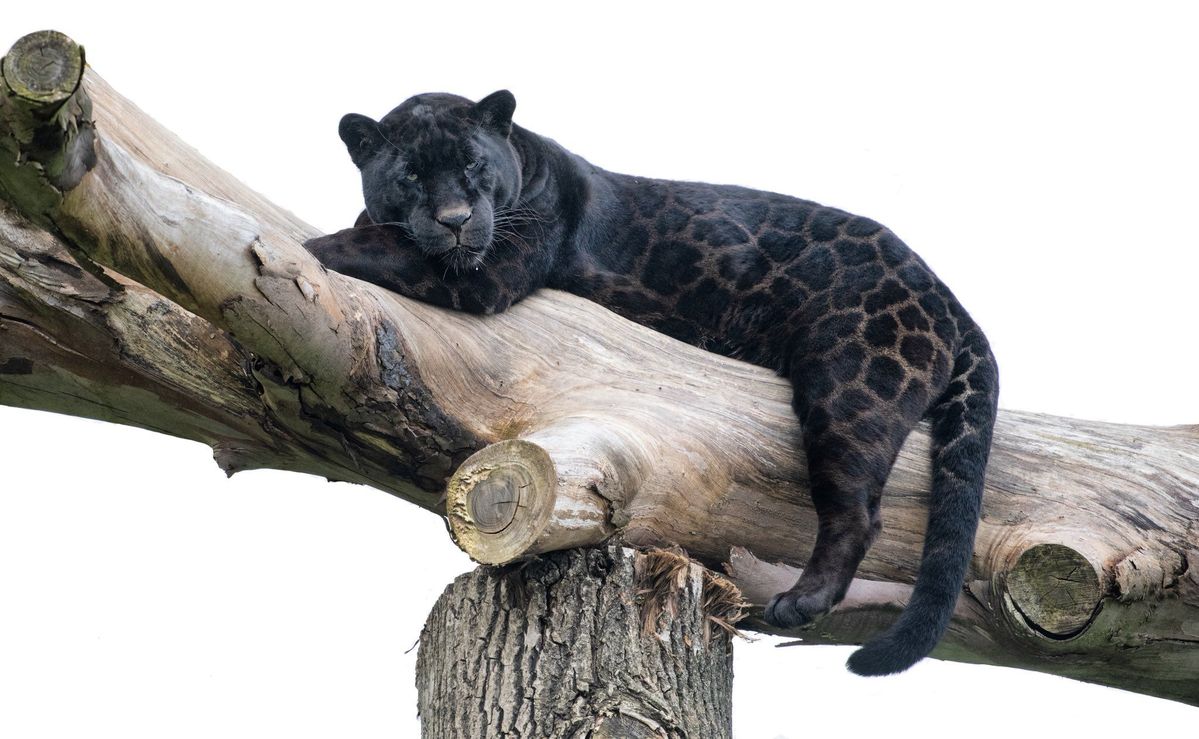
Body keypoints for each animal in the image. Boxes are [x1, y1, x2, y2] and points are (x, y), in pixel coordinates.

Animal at [304, 90, 999, 675]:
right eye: (410, 175)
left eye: (474, 164)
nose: (454, 218)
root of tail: (949, 297)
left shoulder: (487, 270)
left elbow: (385, 246)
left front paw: (316, 246)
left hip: (850, 385)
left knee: (858, 511)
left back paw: (802, 601)